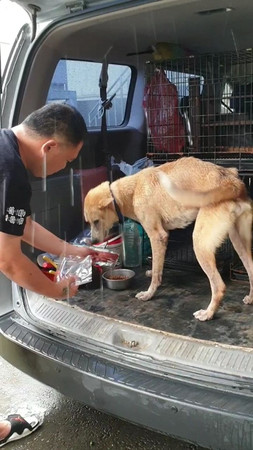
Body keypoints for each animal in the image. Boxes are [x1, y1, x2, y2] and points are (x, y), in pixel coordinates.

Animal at [83, 157, 253, 320]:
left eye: (96, 221)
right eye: (88, 222)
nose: (93, 242)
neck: (133, 190)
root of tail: (234, 182)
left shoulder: (157, 236)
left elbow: (156, 274)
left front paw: (149, 294)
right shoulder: (164, 237)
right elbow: (157, 267)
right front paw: (153, 273)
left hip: (200, 244)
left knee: (219, 286)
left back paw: (208, 313)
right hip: (238, 242)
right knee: (251, 270)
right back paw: (250, 298)